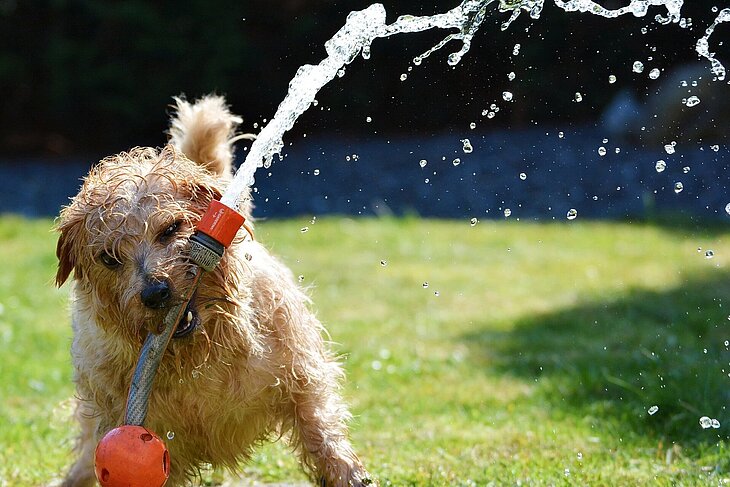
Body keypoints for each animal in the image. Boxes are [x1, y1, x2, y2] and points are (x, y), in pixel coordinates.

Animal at [56, 96, 372, 487]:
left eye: (171, 228)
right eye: (109, 258)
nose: (155, 293)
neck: (198, 355)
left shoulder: (300, 375)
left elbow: (319, 429)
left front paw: (347, 473)